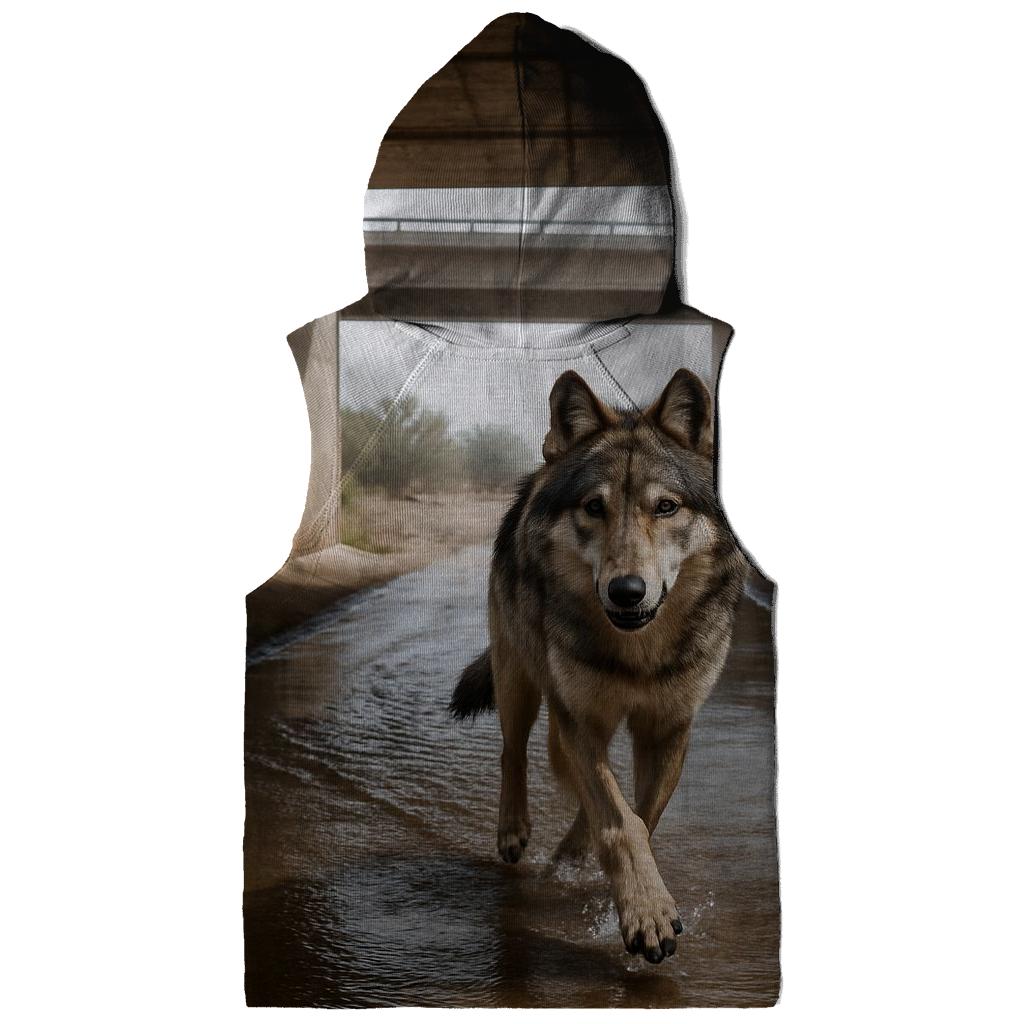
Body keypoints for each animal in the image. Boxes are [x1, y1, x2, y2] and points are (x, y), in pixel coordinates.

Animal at [449, 367, 748, 965]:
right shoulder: (580, 719)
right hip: (519, 681)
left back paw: (570, 853)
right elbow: (620, 822)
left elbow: (639, 816)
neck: (639, 656)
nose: (627, 591)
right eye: (594, 507)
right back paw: (515, 830)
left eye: (665, 507)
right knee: (513, 751)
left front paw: (625, 895)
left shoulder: (667, 728)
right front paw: (646, 916)